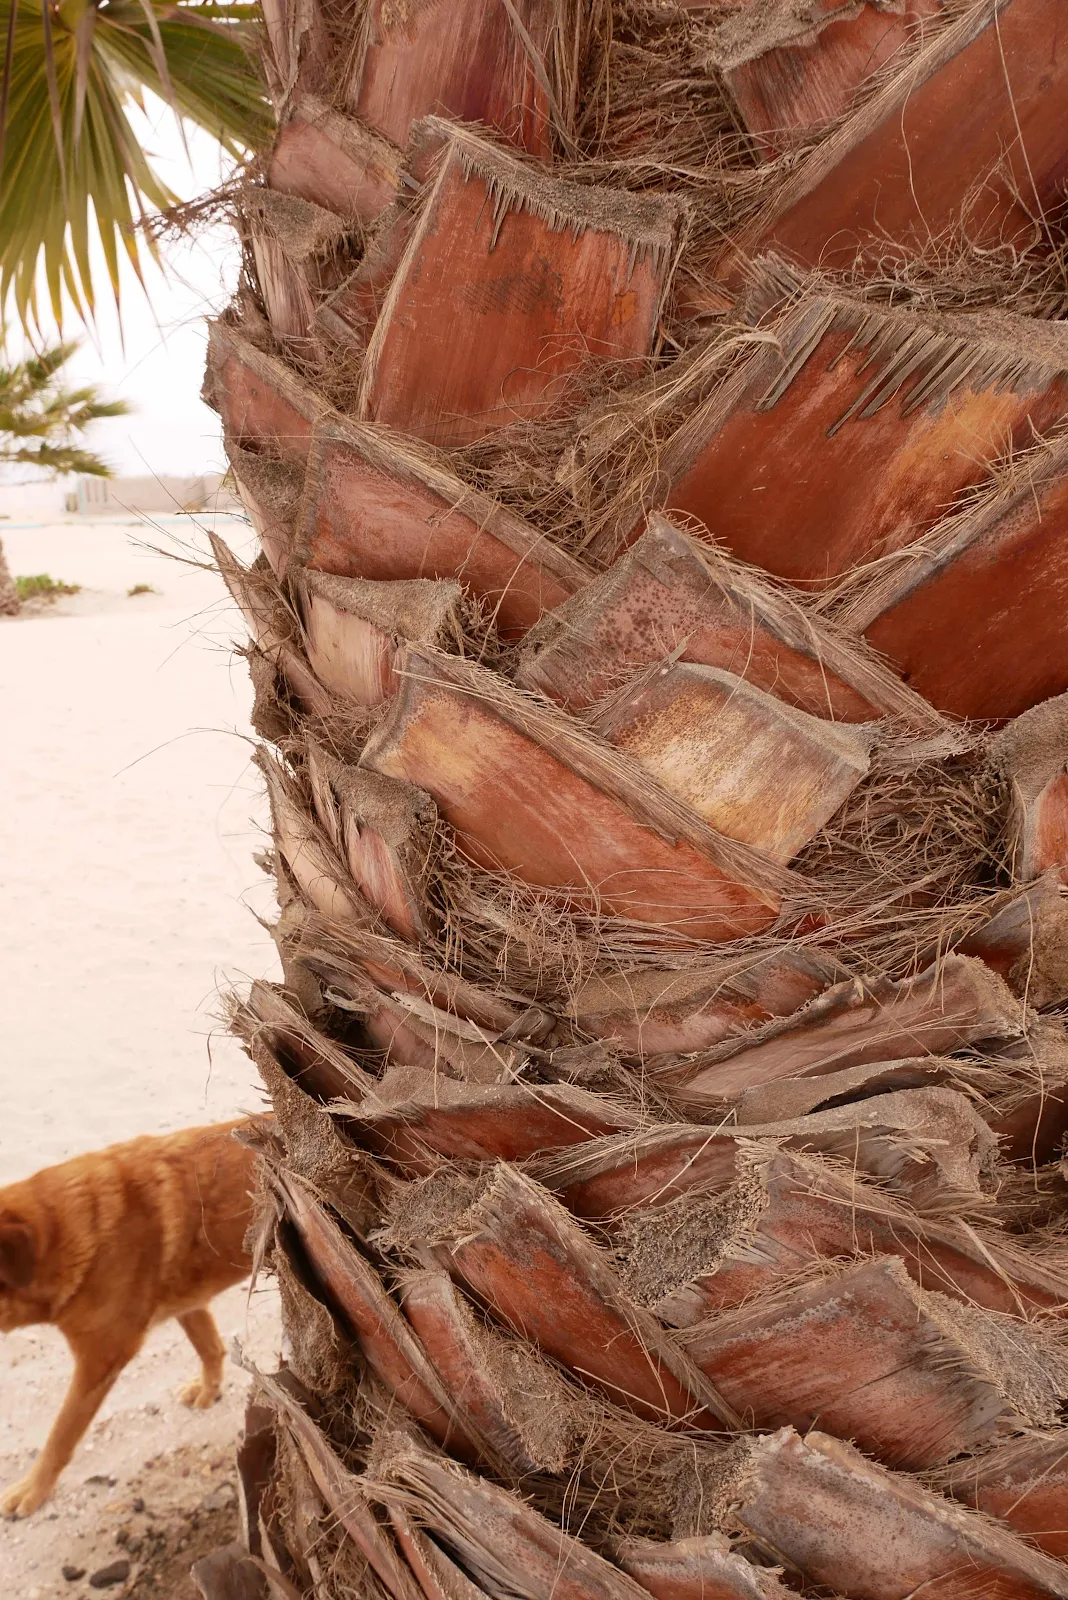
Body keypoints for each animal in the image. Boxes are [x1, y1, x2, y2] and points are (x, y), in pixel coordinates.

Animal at [0, 1119, 257, 1517]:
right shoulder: (188, 1302)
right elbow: (211, 1349)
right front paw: (209, 1389)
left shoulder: (99, 1361)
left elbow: (60, 1435)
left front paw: (33, 1488)